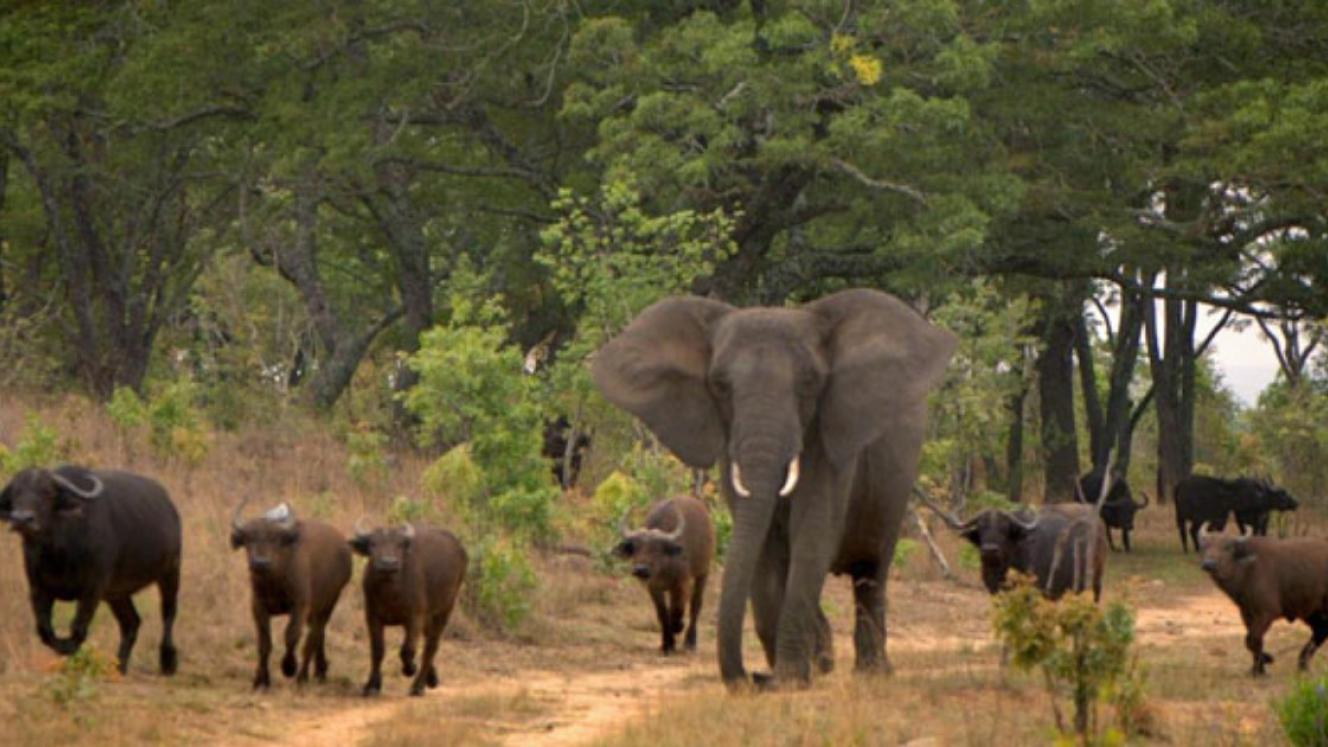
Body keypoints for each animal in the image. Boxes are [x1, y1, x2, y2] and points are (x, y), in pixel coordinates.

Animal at [593, 289, 955, 689]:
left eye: (809, 383)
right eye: (719, 385)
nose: (751, 677)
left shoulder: (828, 442)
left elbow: (811, 536)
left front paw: (790, 681)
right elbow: (765, 548)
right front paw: (783, 675)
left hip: (897, 481)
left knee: (871, 570)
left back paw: (871, 672)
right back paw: (826, 662)